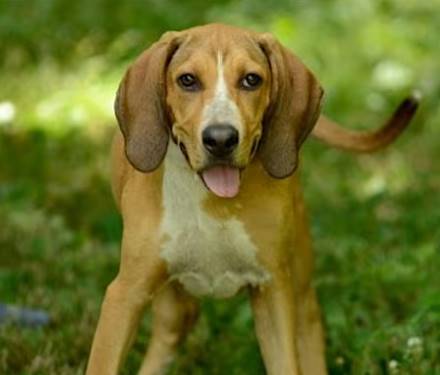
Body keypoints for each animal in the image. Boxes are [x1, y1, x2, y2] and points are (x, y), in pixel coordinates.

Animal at [86, 24, 420, 375]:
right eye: (187, 80)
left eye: (251, 80)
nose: (221, 139)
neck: (211, 201)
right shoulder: (125, 294)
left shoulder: (272, 290)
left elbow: (286, 363)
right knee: (174, 324)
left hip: (299, 284)